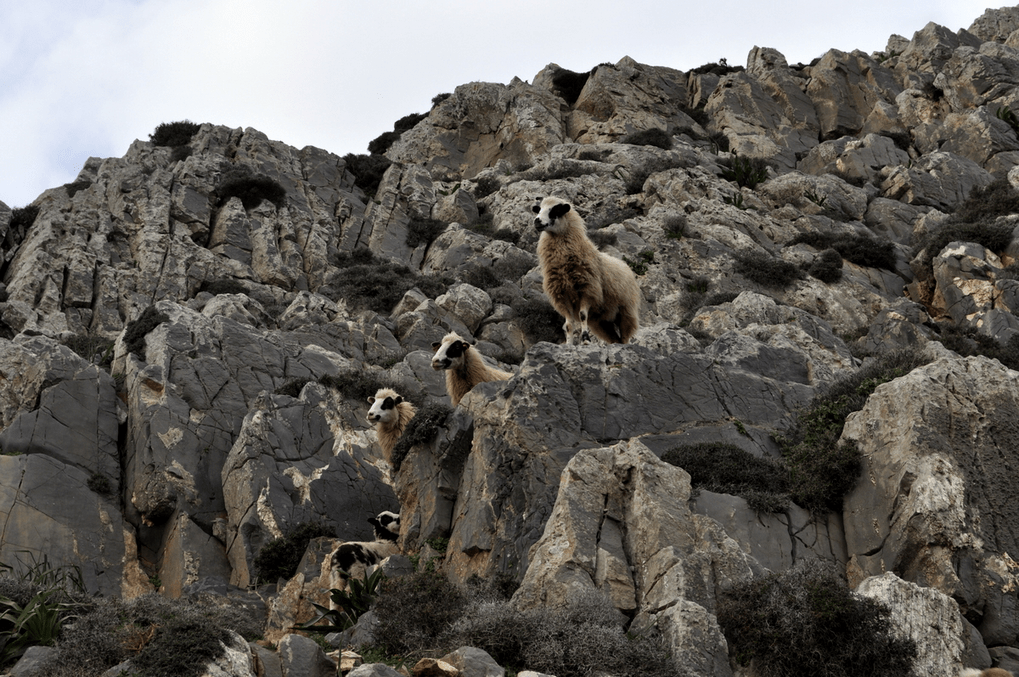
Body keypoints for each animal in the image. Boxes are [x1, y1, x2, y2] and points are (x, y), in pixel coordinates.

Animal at [529, 194, 639, 344]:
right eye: (539, 209)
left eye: (555, 210)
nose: (537, 221)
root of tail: (625, 265)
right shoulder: (562, 295)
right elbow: (568, 324)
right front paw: (569, 343)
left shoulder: (587, 290)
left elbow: (582, 315)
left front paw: (586, 339)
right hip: (602, 322)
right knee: (614, 338)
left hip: (625, 311)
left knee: (625, 334)